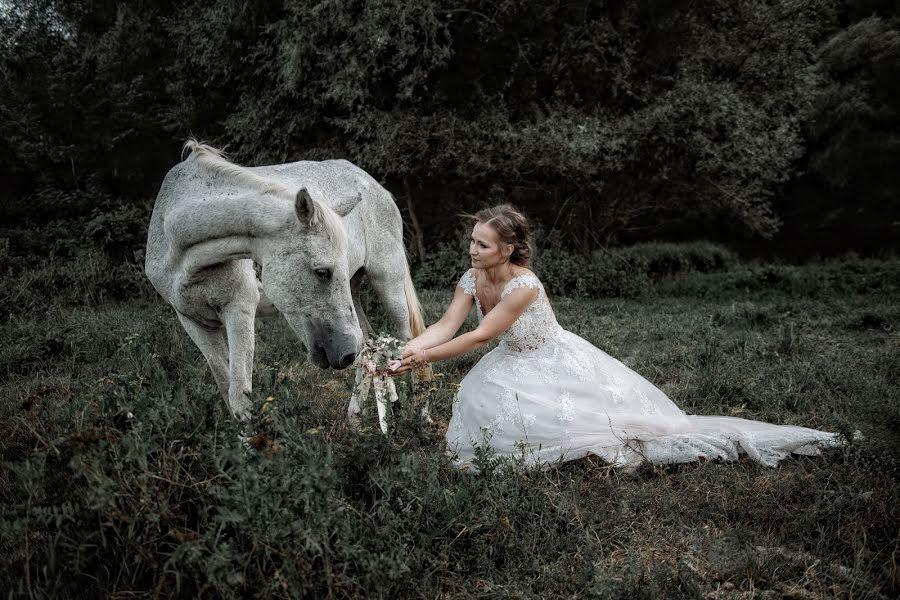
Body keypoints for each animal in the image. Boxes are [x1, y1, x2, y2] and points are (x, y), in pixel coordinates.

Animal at [146, 141, 428, 422]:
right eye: (322, 272)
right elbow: (226, 387)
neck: (177, 241)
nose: (346, 353)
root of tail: (376, 187)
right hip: (355, 291)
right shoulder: (192, 320)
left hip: (387, 282)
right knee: (369, 345)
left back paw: (417, 414)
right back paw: (356, 417)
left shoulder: (239, 310)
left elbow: (240, 396)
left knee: (407, 341)